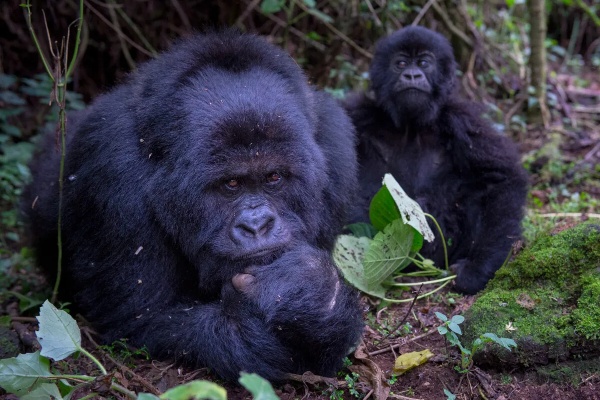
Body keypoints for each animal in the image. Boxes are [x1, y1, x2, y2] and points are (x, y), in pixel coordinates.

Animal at [25, 31, 364, 382]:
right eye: (231, 184)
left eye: (274, 177)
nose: (257, 225)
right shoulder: (113, 166)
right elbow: (144, 319)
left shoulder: (334, 144)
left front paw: (317, 297)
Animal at [344, 25, 528, 294]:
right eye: (400, 63)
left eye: (424, 63)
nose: (411, 75)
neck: (411, 127)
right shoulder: (358, 115)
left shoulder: (463, 119)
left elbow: (500, 178)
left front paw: (477, 269)